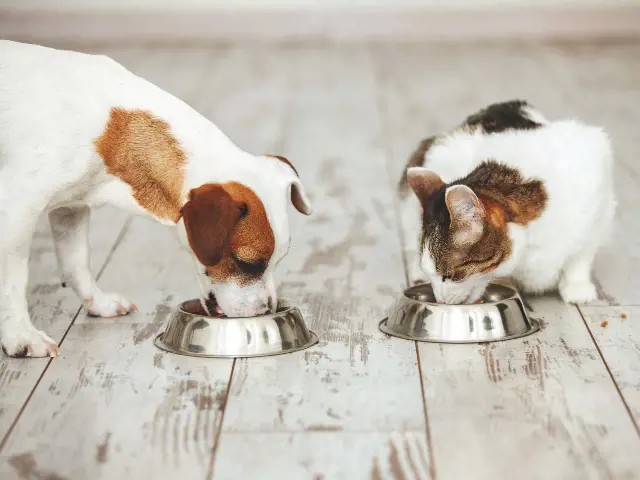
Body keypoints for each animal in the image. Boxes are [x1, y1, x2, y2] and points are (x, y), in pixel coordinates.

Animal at [0, 40, 310, 356]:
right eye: (248, 263)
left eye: (279, 259)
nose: (266, 310)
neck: (111, 131)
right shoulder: (16, 211)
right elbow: (13, 280)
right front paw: (20, 336)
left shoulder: (71, 208)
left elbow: (76, 263)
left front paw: (98, 302)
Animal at [400, 99, 616, 306]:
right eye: (432, 275)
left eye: (449, 275)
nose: (440, 300)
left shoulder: (598, 189)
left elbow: (582, 253)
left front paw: (577, 285)